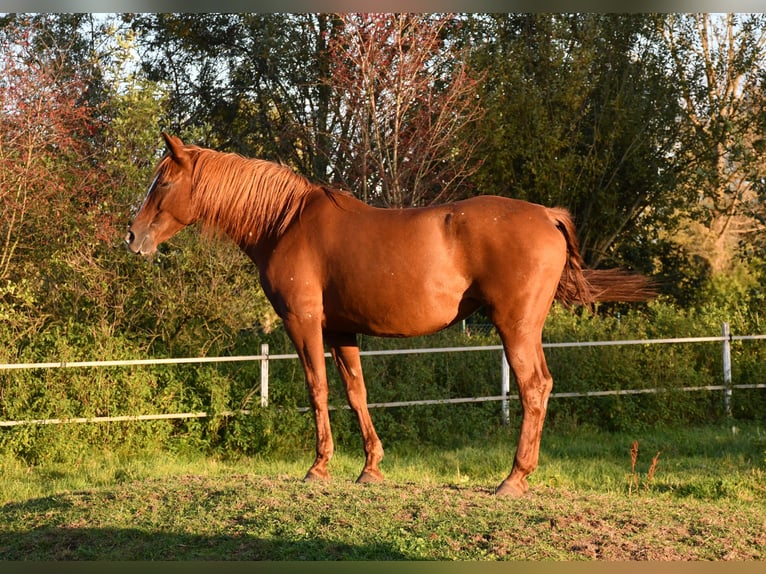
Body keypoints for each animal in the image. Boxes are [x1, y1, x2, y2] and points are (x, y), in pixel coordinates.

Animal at [126, 133, 656, 498]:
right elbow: (356, 393)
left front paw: (318, 467)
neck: (285, 222)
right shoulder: (342, 330)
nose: (133, 236)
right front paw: (370, 468)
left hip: (516, 327)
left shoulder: (304, 323)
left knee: (534, 388)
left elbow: (317, 390)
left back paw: (513, 478)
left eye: (164, 181)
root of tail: (547, 214)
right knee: (539, 387)